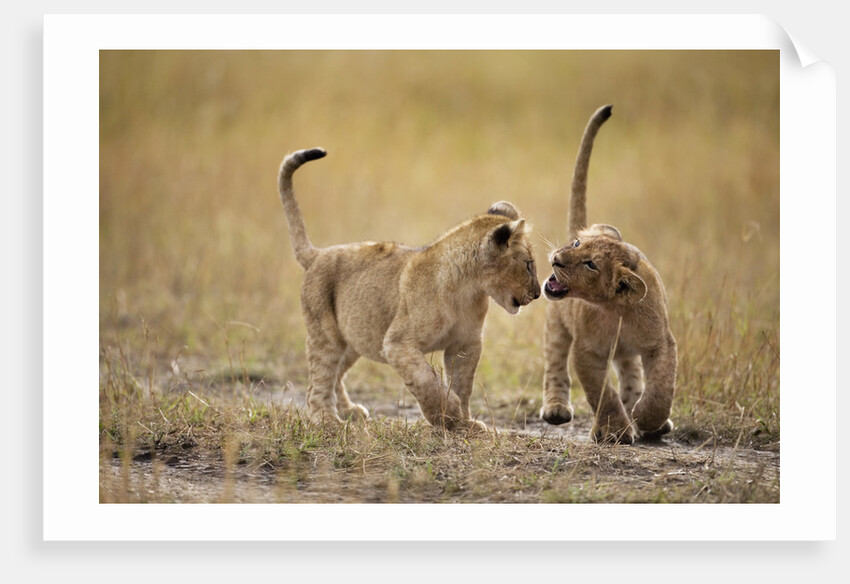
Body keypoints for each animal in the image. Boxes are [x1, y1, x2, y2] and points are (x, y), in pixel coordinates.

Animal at [278, 147, 541, 431]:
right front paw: (446, 415)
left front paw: (464, 423)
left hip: (356, 337)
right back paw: (326, 419)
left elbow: (463, 384)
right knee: (319, 379)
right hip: (327, 335)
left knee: (335, 374)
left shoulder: (465, 344)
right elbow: (427, 381)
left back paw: (348, 411)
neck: (469, 290)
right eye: (529, 265)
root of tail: (318, 254)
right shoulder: (397, 343)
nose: (538, 293)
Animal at [540, 105, 677, 444]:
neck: (617, 311)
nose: (557, 259)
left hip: (627, 352)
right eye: (578, 244)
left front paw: (648, 417)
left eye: (591, 265)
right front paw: (615, 430)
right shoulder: (586, 351)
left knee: (630, 374)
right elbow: (602, 394)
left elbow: (662, 387)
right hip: (557, 325)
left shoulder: (661, 342)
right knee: (554, 364)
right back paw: (557, 409)